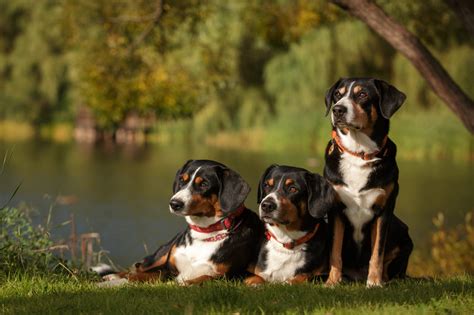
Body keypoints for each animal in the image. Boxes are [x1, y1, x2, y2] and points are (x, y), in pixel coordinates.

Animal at [103, 160, 264, 286]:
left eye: (204, 184)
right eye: (182, 180)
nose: (174, 203)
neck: (205, 233)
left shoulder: (231, 276)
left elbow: (205, 277)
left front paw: (186, 282)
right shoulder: (168, 268)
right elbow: (139, 275)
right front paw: (117, 282)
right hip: (161, 254)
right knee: (138, 267)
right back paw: (113, 275)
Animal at [324, 78, 412, 288]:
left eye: (362, 94)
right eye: (338, 94)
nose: (338, 110)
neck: (359, 154)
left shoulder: (384, 211)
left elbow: (377, 252)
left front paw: (374, 282)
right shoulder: (335, 210)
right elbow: (335, 250)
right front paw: (332, 281)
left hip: (403, 233)